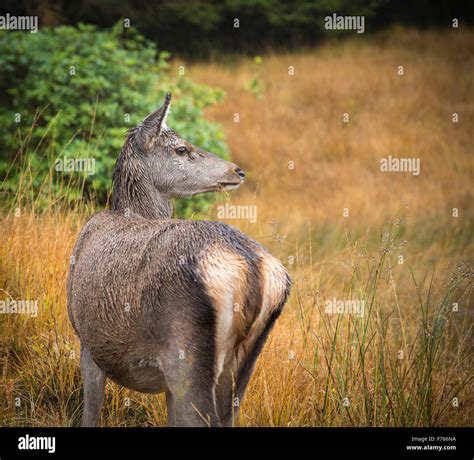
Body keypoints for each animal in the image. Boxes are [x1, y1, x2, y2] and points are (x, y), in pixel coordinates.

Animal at [66, 92, 288, 428]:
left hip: (185, 354)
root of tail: (252, 269)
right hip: (243, 363)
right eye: (181, 149)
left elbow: (90, 415)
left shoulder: (87, 342)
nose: (237, 171)